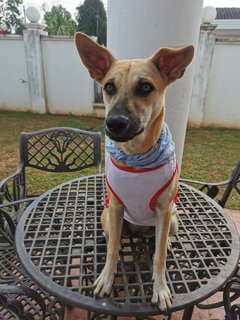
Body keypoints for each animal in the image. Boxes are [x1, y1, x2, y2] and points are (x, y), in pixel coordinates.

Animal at [75, 31, 193, 310]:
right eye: (109, 87)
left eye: (145, 87)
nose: (114, 123)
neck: (135, 155)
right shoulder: (116, 207)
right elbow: (112, 251)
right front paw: (106, 278)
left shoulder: (164, 210)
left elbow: (159, 257)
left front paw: (160, 289)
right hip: (107, 217)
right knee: (113, 238)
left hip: (172, 219)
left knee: (161, 240)